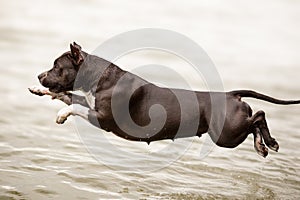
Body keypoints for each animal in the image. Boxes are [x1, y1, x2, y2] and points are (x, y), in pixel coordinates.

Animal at [28, 42, 300, 158]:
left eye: (57, 67)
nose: (40, 75)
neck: (100, 78)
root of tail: (231, 94)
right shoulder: (91, 104)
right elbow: (66, 95)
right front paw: (38, 90)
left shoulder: (102, 118)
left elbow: (72, 105)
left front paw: (61, 115)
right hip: (228, 132)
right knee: (256, 119)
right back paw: (263, 145)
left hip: (226, 134)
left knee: (259, 116)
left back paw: (268, 142)